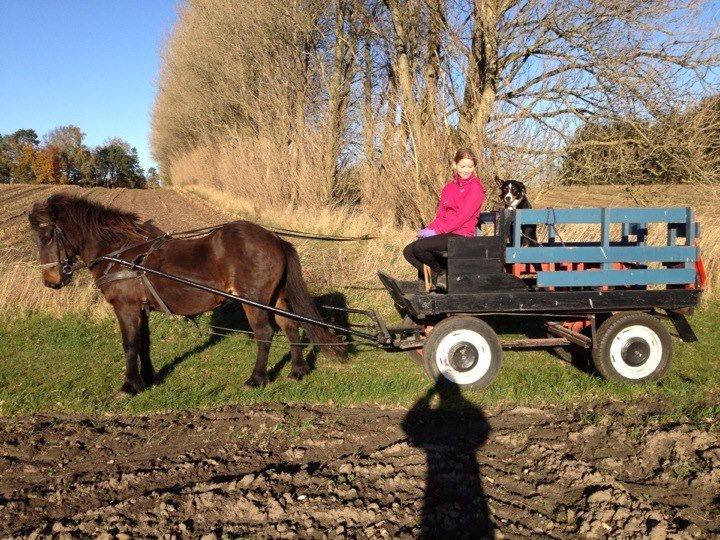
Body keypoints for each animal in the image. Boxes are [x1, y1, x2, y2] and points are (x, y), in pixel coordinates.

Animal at [29, 195, 350, 396]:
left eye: (45, 235)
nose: (50, 281)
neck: (120, 253)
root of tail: (274, 238)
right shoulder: (142, 308)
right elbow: (144, 343)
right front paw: (150, 378)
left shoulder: (126, 307)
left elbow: (130, 344)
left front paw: (130, 385)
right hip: (277, 298)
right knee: (290, 327)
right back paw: (297, 371)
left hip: (255, 301)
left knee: (265, 333)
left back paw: (256, 378)